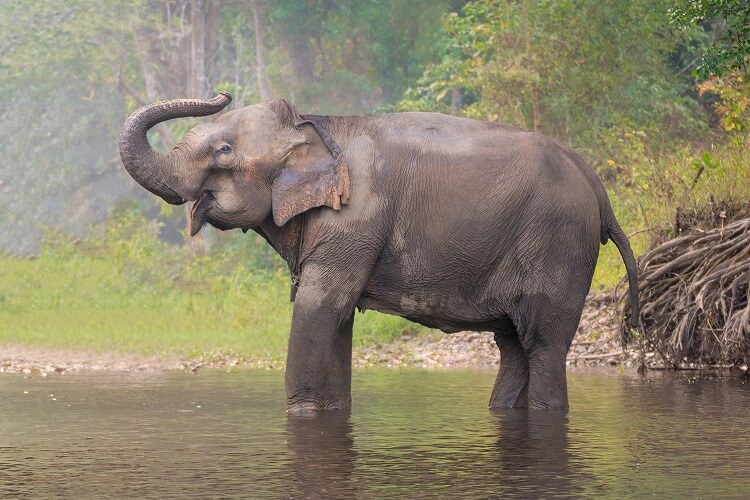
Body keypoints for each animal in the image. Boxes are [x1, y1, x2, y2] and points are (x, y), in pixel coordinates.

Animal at [119, 92, 639, 412]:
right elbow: (336, 319)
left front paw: (301, 413)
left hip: (559, 243)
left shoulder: (355, 220)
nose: (222, 92)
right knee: (513, 344)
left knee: (543, 343)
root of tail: (598, 188)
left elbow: (319, 308)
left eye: (223, 150)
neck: (318, 125)